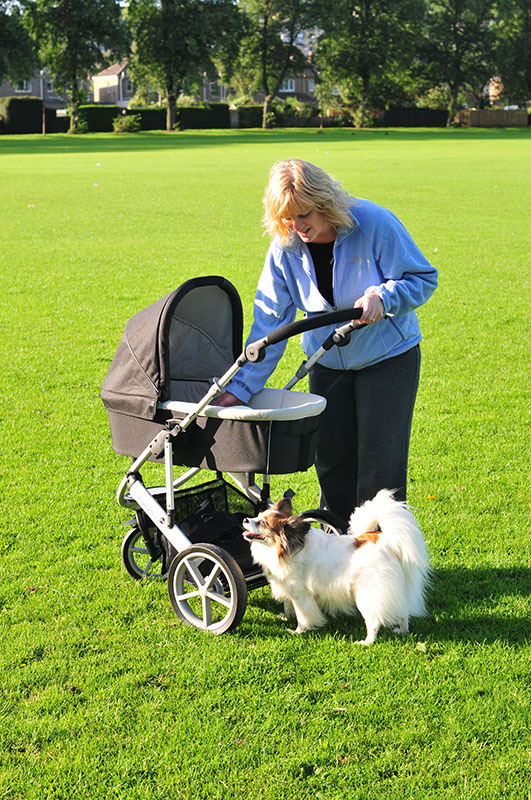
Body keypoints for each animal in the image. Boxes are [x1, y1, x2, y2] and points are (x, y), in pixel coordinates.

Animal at [242, 490, 430, 644]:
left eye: (262, 523)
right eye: (257, 516)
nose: (244, 519)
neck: (288, 548)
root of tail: (385, 541)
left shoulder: (301, 595)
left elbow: (302, 617)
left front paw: (297, 631)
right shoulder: (288, 588)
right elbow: (288, 605)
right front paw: (285, 617)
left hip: (366, 595)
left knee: (374, 621)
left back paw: (366, 642)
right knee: (404, 613)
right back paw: (402, 631)